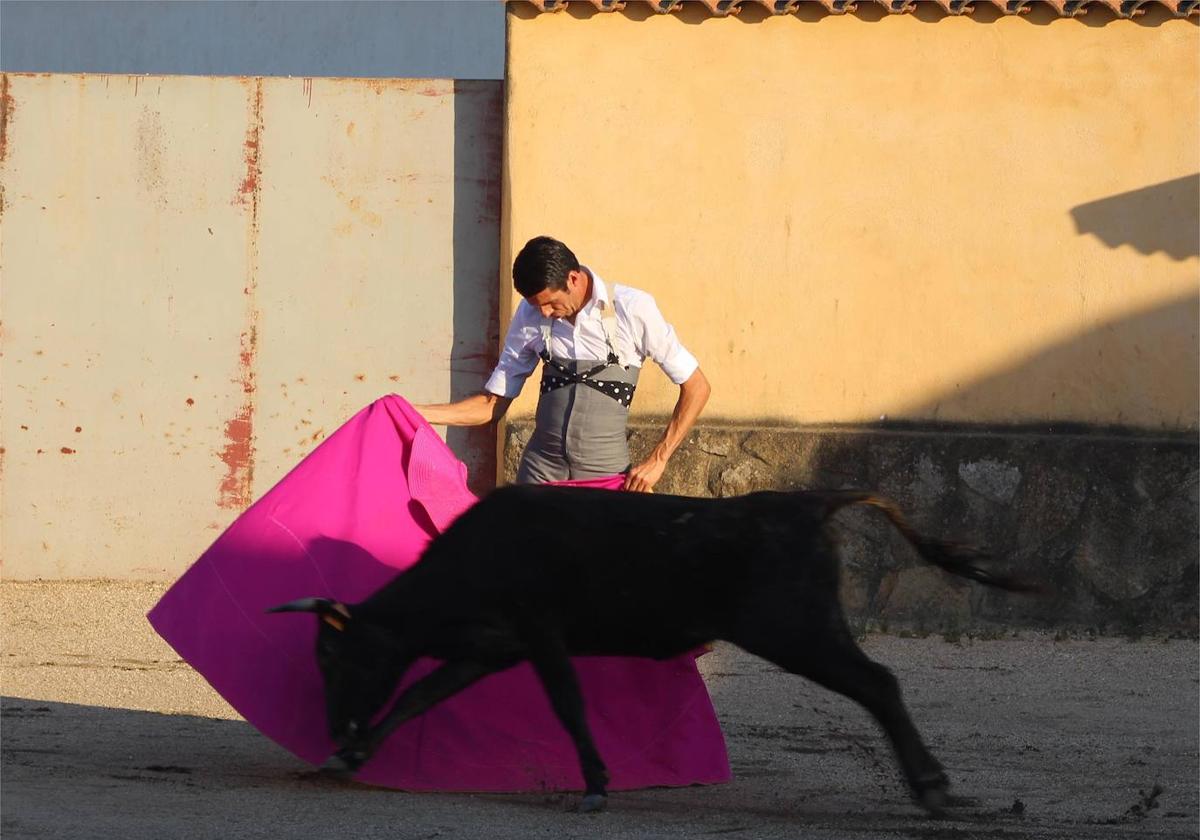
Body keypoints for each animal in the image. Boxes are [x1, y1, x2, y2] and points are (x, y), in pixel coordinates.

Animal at [270, 484, 1032, 816]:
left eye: (333, 659)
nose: (332, 729)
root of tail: (812, 500)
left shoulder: (540, 634)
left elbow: (568, 705)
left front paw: (596, 786)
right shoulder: (491, 648)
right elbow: (419, 694)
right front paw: (352, 758)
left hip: (798, 630)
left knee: (878, 683)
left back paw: (933, 789)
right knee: (877, 684)